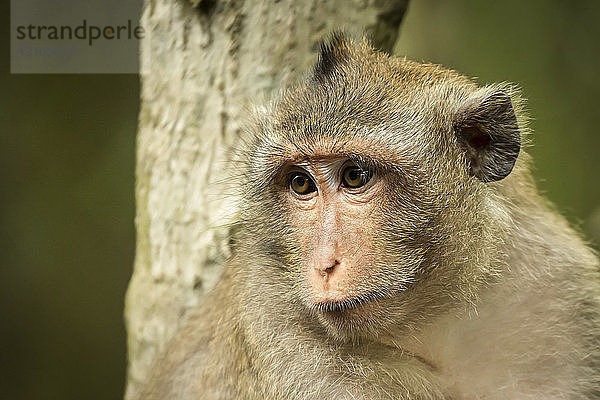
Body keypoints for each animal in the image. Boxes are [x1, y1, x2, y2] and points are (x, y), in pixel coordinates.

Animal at [137, 33, 600, 400]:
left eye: (355, 176)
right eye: (301, 183)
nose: (325, 264)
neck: (436, 317)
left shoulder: (566, 297)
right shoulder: (282, 331)